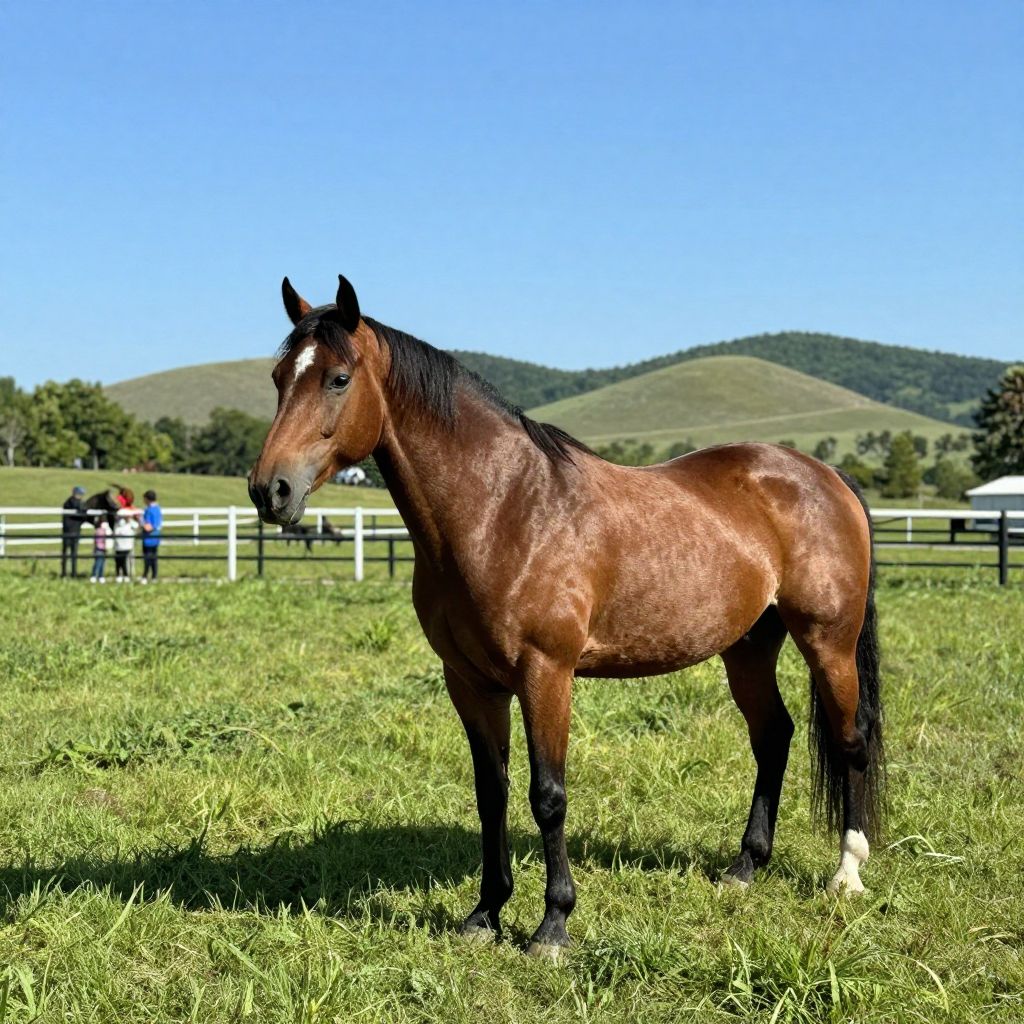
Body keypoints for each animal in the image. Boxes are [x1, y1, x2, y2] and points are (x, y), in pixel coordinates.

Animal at [248, 275, 885, 960]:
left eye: (338, 378)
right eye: (279, 376)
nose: (270, 490)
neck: (503, 508)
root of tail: (823, 474)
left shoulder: (545, 674)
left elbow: (547, 796)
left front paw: (552, 926)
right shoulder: (471, 682)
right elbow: (491, 793)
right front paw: (485, 913)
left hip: (828, 642)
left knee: (850, 740)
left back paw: (847, 874)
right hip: (747, 647)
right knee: (773, 736)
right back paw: (744, 868)